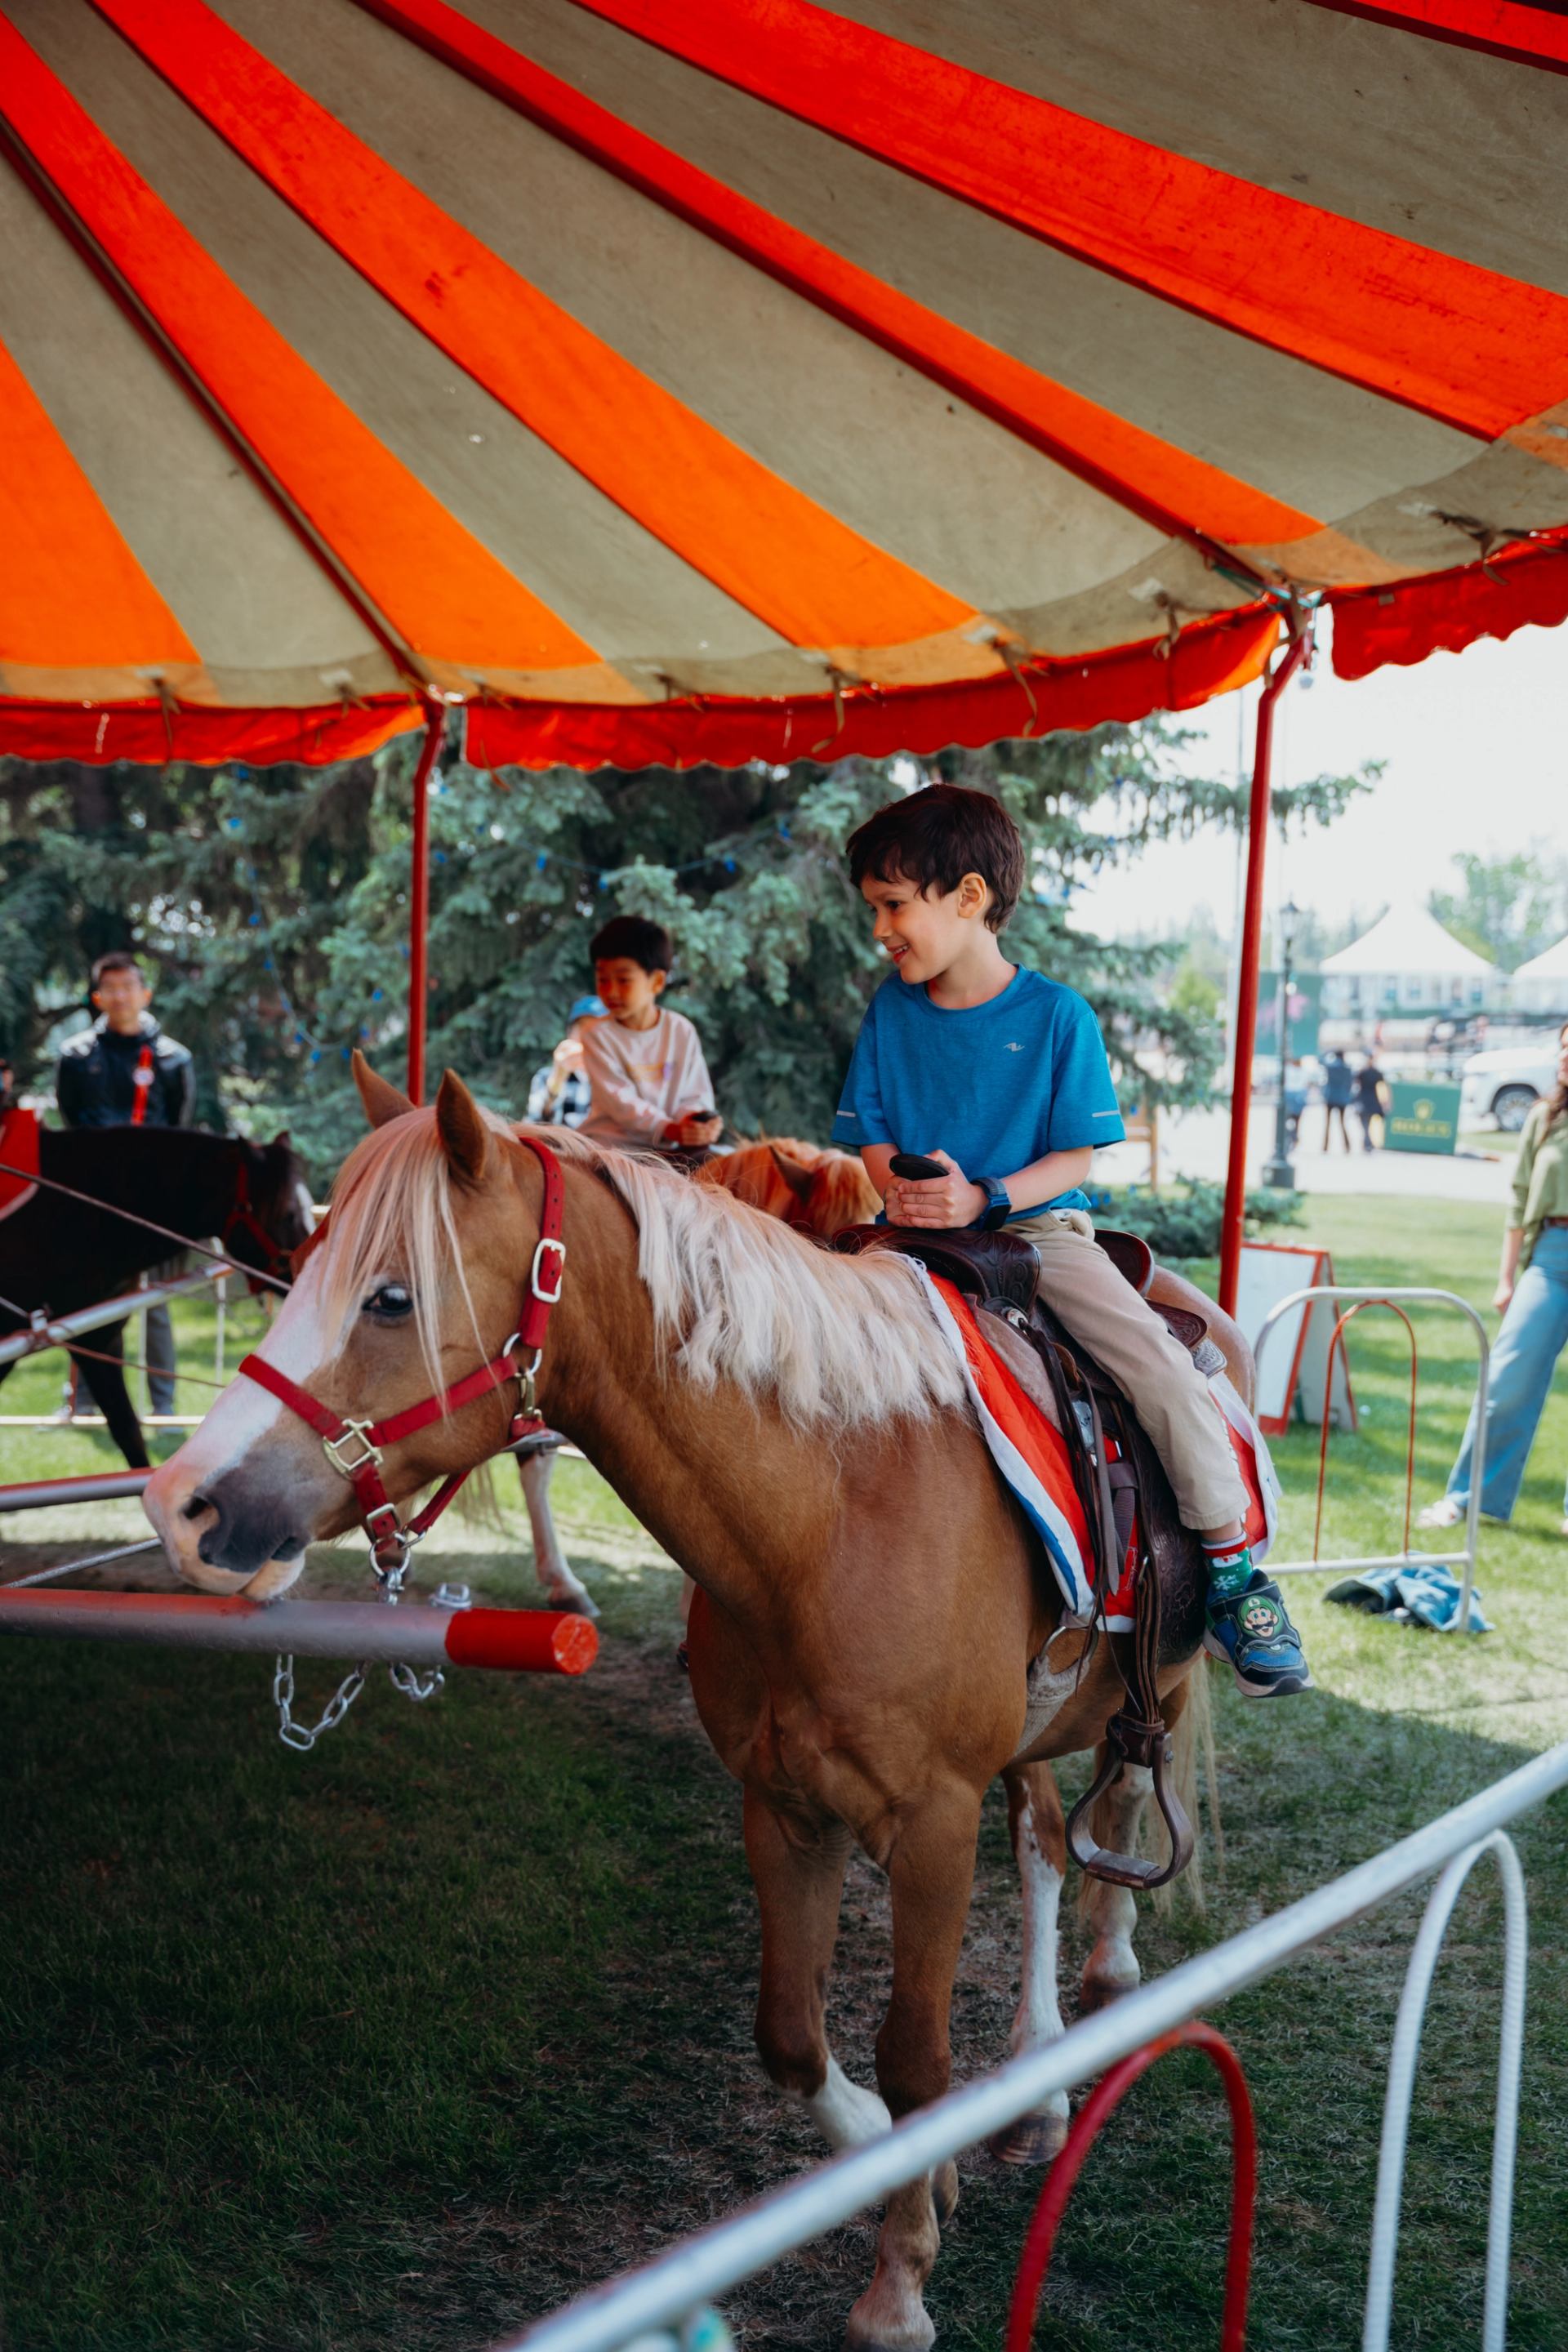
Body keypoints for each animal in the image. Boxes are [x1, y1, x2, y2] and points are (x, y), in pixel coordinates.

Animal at [143, 1063, 1251, 2352]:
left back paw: (1107, 1988)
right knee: (1039, 1844)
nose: (184, 1504)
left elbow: (916, 2059)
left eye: (389, 1296)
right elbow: (793, 2037)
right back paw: (1033, 2092)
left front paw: (899, 2285)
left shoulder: (930, 1823)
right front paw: (896, 2163)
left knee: (1114, 1813)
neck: (829, 1512)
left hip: (1156, 1680)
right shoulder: (780, 1806)